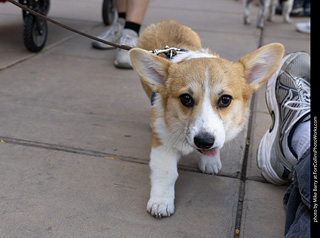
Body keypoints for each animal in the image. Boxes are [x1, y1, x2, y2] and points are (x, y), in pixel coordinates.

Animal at [129, 20, 284, 218]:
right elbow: (166, 172)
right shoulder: (163, 144)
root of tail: (167, 21)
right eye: (186, 99)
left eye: (225, 99)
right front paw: (161, 202)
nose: (204, 141)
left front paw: (210, 162)